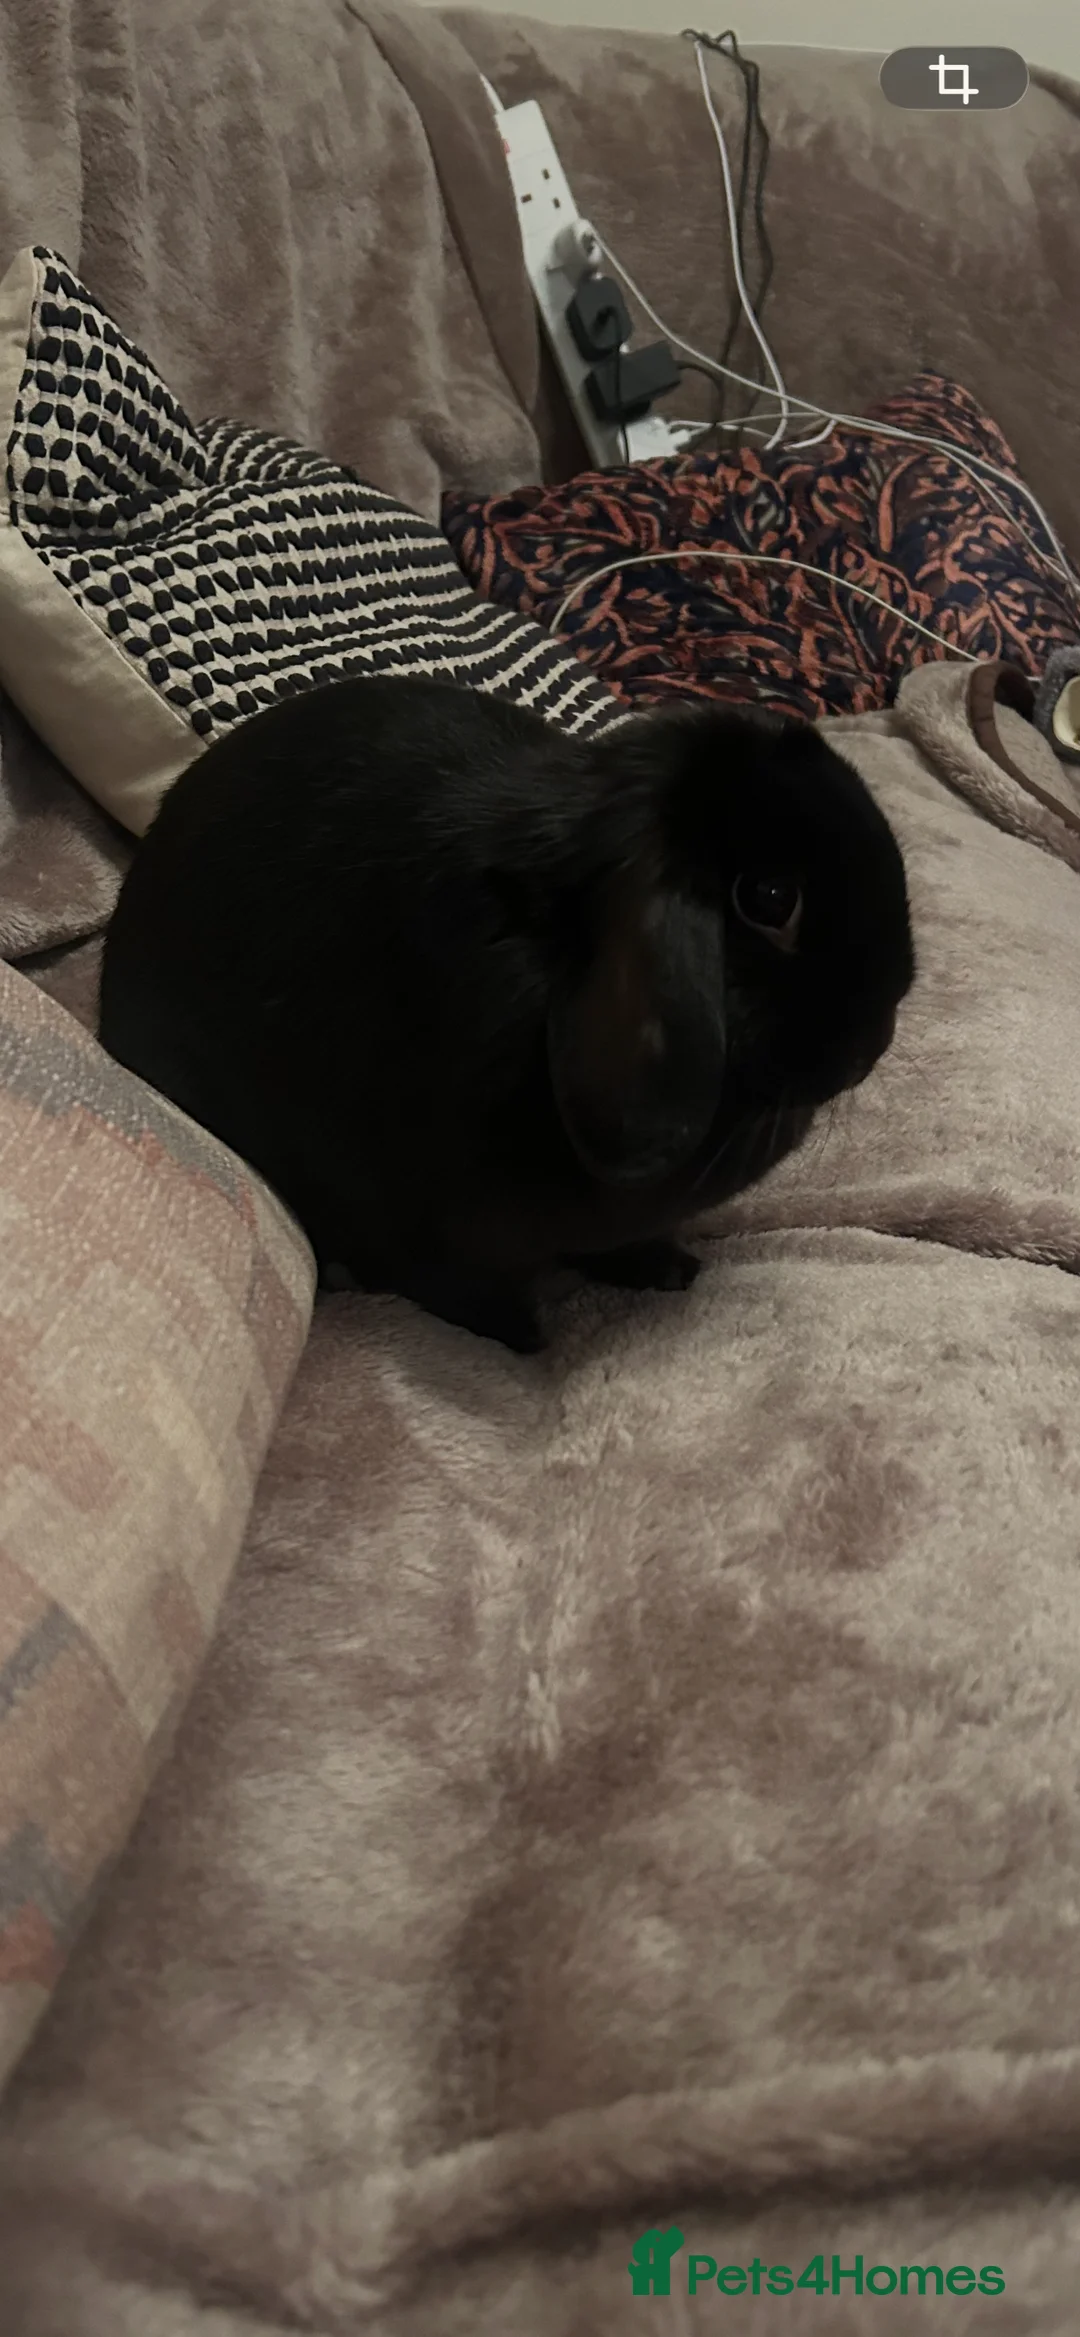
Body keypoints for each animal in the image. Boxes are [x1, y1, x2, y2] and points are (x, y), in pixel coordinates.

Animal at [98, 673, 914, 1352]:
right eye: (769, 898)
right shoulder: (407, 1220)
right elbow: (447, 1283)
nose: (873, 1044)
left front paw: (667, 1268)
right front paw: (524, 1336)